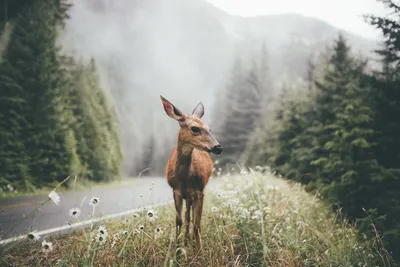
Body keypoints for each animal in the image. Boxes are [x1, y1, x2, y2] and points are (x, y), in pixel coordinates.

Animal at [159, 96, 222, 253]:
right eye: (195, 128)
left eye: (209, 129)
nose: (218, 147)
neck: (184, 178)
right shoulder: (176, 191)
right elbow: (179, 221)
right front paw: (177, 250)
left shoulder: (199, 191)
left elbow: (196, 223)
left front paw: (199, 252)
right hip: (187, 196)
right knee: (187, 216)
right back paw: (186, 241)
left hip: (194, 193)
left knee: (192, 217)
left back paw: (191, 241)